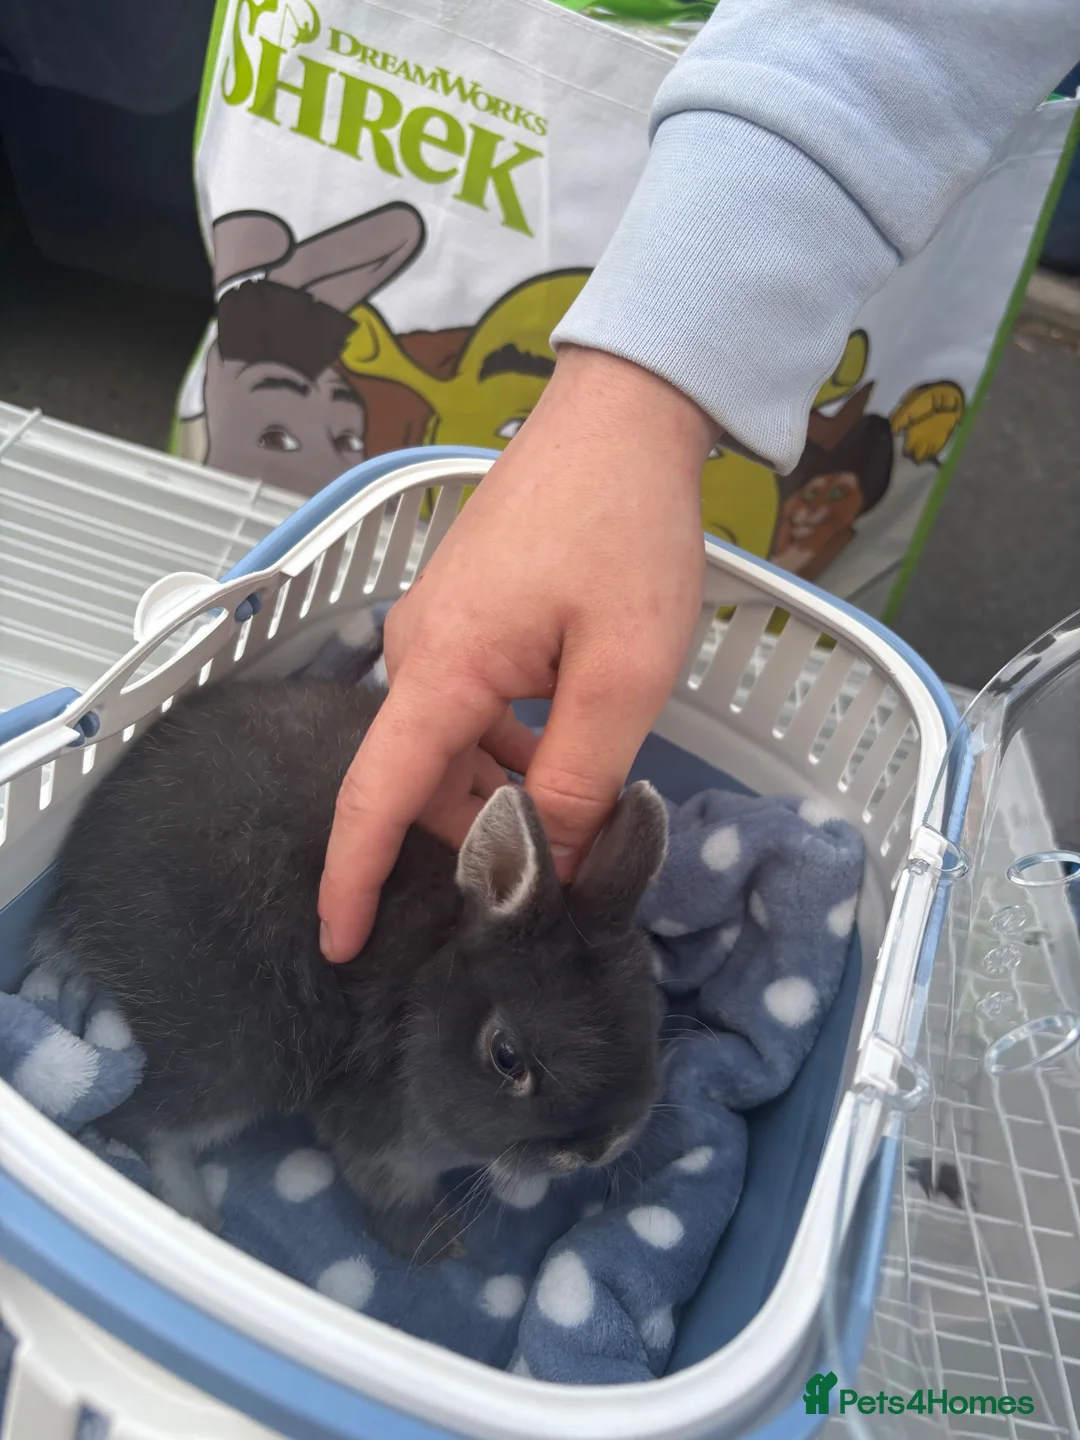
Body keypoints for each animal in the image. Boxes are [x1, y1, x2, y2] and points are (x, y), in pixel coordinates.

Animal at [33, 673, 668, 1262]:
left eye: (649, 1017)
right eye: (505, 1056)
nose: (594, 1148)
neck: (427, 975)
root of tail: (76, 878)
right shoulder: (381, 1134)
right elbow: (391, 1191)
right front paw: (437, 1248)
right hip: (248, 1056)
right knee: (137, 1122)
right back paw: (195, 1217)